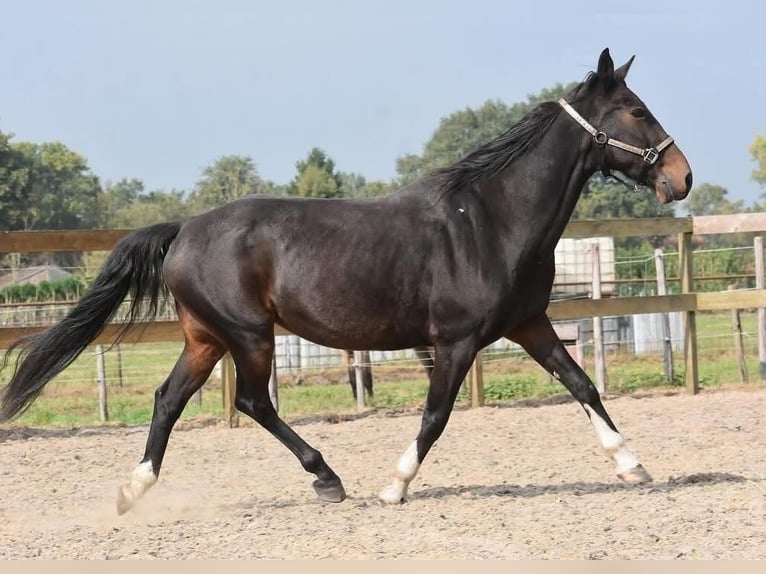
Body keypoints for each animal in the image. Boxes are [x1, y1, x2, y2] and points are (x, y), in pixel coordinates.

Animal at [0, 49, 692, 513]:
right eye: (636, 110)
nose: (681, 177)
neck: (489, 219)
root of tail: (186, 228)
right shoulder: (457, 341)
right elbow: (436, 415)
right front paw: (394, 487)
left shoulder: (530, 324)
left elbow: (582, 384)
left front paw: (633, 465)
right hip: (248, 335)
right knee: (253, 402)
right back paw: (326, 478)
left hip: (206, 338)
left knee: (168, 399)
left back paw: (132, 490)